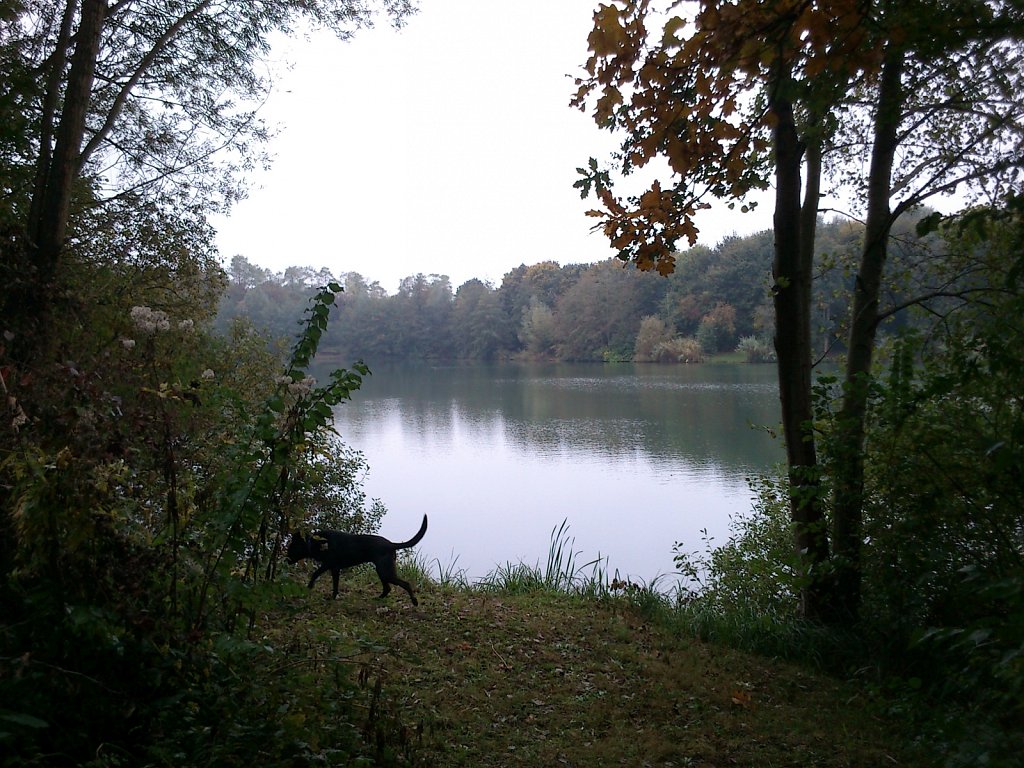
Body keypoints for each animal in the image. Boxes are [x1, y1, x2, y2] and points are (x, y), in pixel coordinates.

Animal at [288, 518, 428, 606]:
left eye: (292, 547)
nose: (287, 559)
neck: (317, 542)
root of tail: (391, 544)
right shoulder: (333, 568)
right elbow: (333, 584)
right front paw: (331, 597)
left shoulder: (329, 565)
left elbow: (316, 575)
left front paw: (310, 588)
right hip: (382, 571)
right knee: (387, 588)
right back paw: (376, 599)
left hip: (385, 571)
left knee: (405, 584)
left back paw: (414, 602)